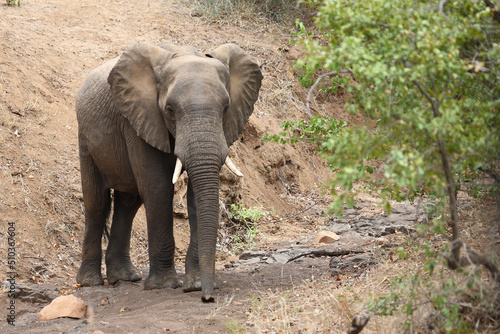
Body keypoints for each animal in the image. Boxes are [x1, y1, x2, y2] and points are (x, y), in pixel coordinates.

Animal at [75, 40, 262, 302]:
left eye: (226, 108)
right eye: (170, 109)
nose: (208, 297)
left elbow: (195, 194)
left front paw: (194, 284)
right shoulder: (138, 116)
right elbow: (158, 187)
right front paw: (165, 286)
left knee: (128, 203)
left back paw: (125, 278)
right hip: (85, 136)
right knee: (97, 202)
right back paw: (90, 282)